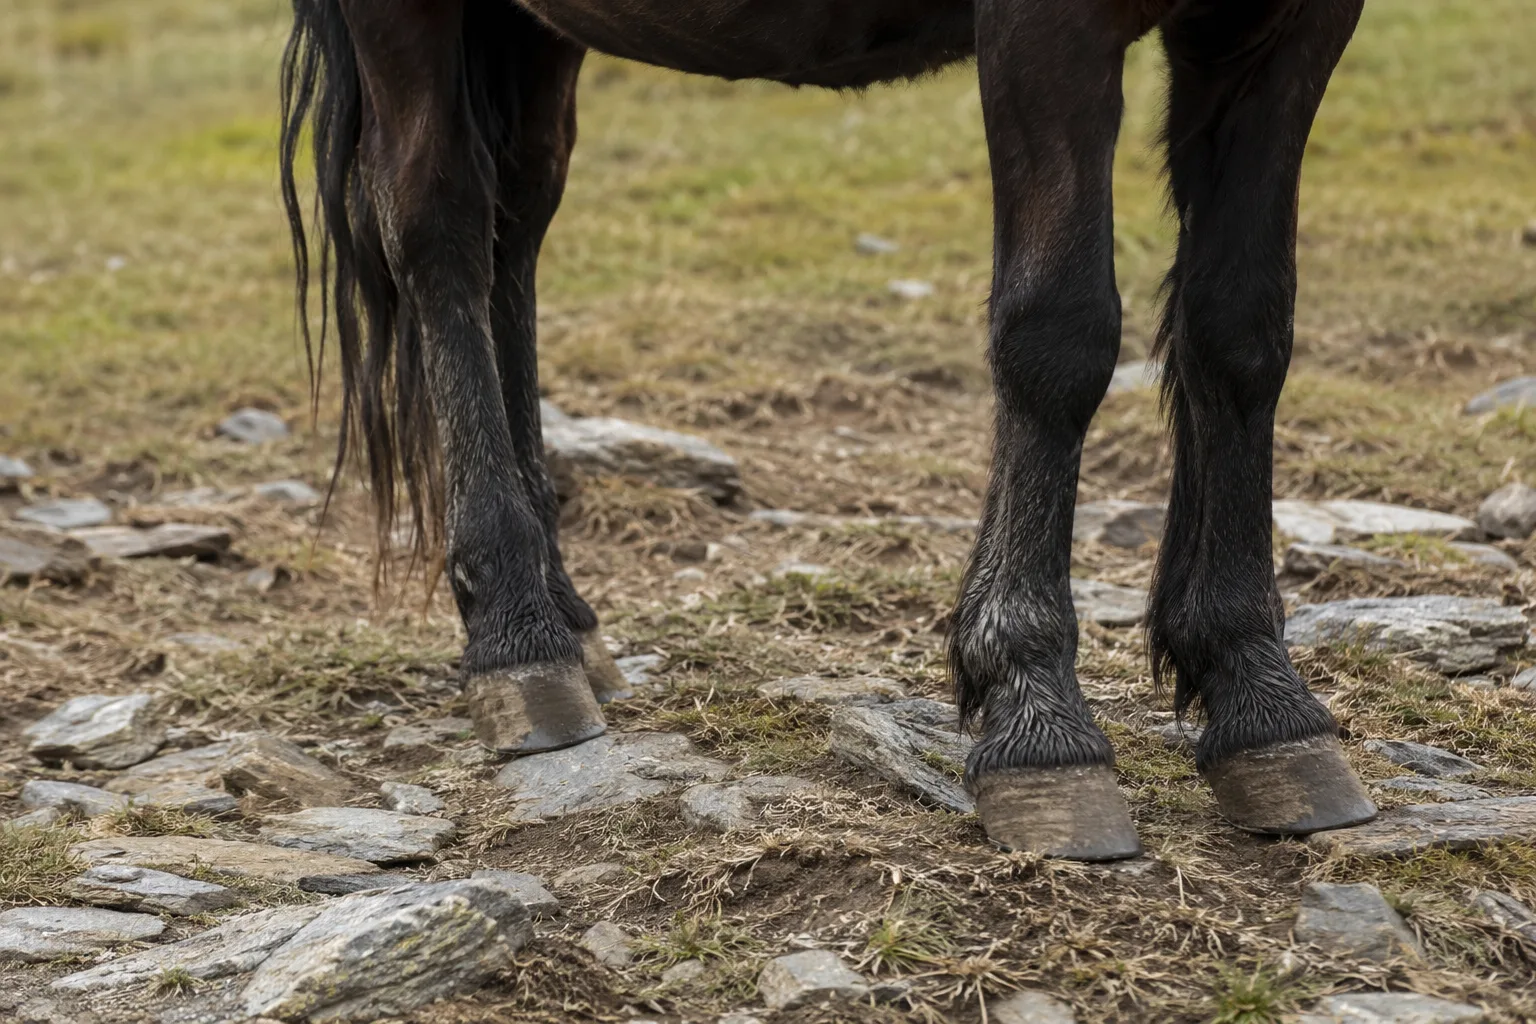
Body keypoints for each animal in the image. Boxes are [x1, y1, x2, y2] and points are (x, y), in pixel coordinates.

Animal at [279, 0, 1375, 862]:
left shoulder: (1290, 26)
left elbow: (1239, 328)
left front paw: (1260, 696)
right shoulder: (1045, 26)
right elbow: (1058, 336)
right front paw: (1036, 710)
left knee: (517, 218)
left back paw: (562, 616)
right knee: (440, 226)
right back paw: (514, 630)